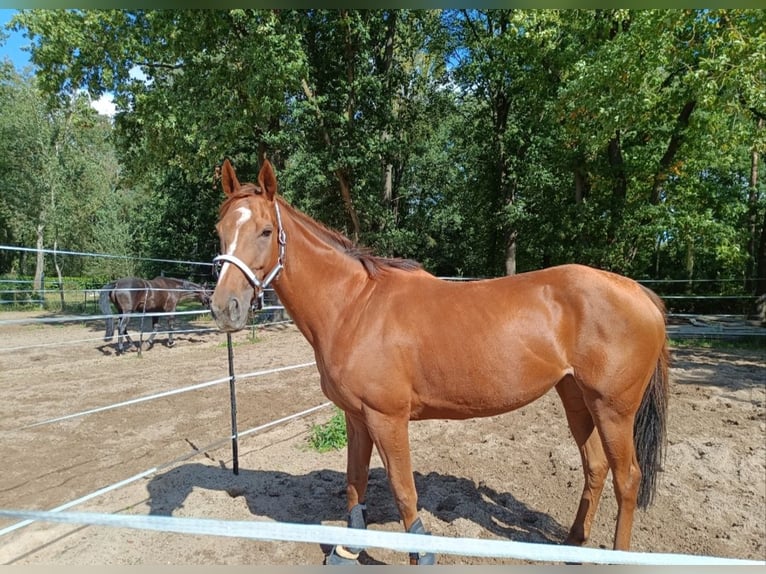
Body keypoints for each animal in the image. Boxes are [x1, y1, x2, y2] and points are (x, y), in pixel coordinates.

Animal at [209, 158, 669, 565]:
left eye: (266, 231)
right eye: (221, 230)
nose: (224, 308)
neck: (355, 306)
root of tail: (639, 292)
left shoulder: (387, 419)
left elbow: (403, 490)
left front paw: (421, 553)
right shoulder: (356, 418)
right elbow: (355, 484)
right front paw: (347, 550)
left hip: (613, 409)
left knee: (627, 477)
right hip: (576, 397)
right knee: (595, 467)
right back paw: (573, 543)